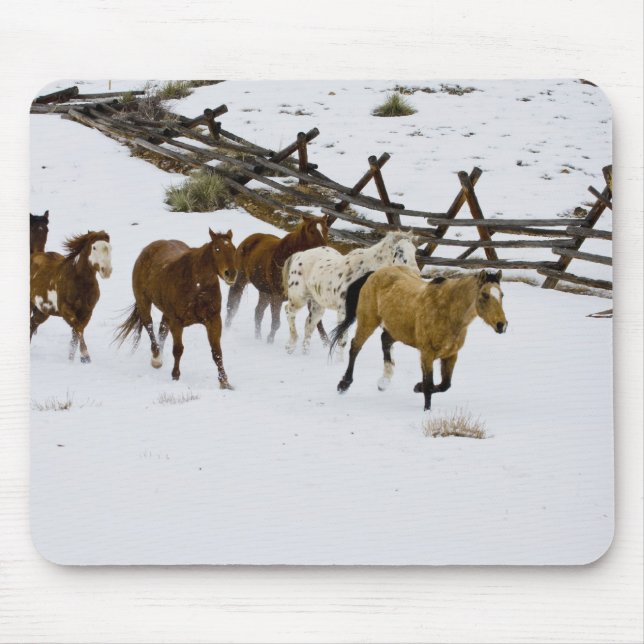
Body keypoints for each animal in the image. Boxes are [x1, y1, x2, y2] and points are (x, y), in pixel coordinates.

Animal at [30, 230, 112, 363]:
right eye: (94, 247)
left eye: (109, 247)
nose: (107, 271)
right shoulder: (66, 310)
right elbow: (78, 328)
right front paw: (85, 357)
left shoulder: (87, 312)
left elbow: (77, 332)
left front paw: (72, 359)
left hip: (43, 311)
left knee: (32, 324)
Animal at [114, 229, 237, 389]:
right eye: (217, 249)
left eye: (234, 249)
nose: (231, 273)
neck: (197, 286)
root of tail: (148, 249)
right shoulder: (177, 321)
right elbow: (178, 350)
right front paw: (175, 376)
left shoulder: (214, 320)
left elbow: (217, 352)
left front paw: (225, 382)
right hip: (144, 302)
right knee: (149, 325)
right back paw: (156, 358)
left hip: (166, 313)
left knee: (162, 330)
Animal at [225, 214, 329, 343]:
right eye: (311, 231)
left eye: (326, 229)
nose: (324, 249)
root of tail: (248, 240)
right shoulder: (277, 296)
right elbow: (276, 323)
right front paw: (270, 341)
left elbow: (317, 323)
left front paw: (327, 343)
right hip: (241, 280)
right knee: (232, 304)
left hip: (265, 292)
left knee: (258, 312)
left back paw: (258, 337)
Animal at [283, 230, 419, 356]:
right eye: (399, 250)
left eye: (414, 250)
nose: (416, 273)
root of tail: (301, 254)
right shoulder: (344, 312)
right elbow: (342, 341)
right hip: (298, 298)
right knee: (289, 312)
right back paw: (290, 346)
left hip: (318, 305)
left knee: (309, 325)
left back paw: (304, 352)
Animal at [329, 267, 508, 411]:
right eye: (485, 295)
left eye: (502, 295)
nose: (502, 325)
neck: (447, 312)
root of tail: (375, 273)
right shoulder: (427, 354)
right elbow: (429, 385)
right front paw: (426, 409)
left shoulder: (451, 355)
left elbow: (444, 385)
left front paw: (417, 387)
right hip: (368, 322)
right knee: (355, 347)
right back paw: (344, 384)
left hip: (397, 329)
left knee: (384, 340)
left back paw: (384, 381)